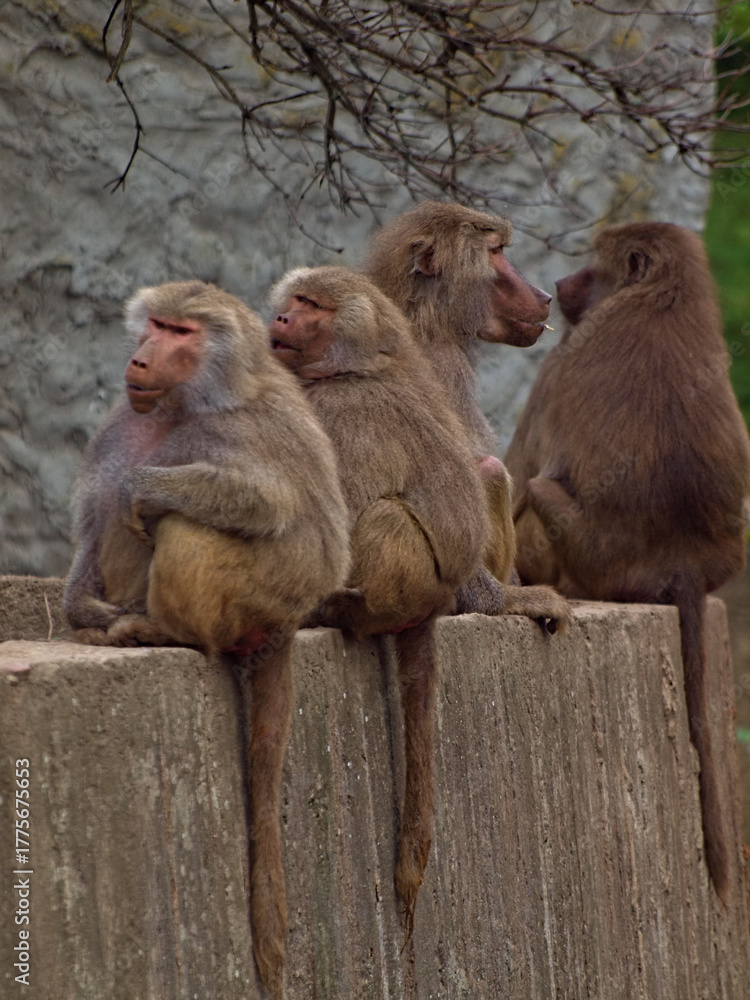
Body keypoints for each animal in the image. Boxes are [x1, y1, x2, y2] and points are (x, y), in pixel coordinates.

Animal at [63, 280, 350, 999]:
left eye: (182, 333)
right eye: (156, 326)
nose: (140, 358)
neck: (181, 404)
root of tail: (284, 623)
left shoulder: (239, 431)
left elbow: (267, 503)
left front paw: (141, 487)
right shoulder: (119, 427)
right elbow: (94, 522)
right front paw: (80, 607)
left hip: (252, 600)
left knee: (185, 525)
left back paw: (161, 629)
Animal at [268, 266, 490, 931]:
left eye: (311, 307)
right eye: (294, 300)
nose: (281, 318)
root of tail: (435, 604)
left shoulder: (345, 412)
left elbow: (343, 511)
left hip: (411, 584)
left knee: (385, 519)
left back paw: (345, 613)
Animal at [364, 200, 570, 630]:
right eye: (495, 252)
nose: (544, 296)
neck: (422, 310)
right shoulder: (445, 365)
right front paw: (511, 600)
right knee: (489, 470)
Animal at [504, 222, 750, 905]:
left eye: (593, 267)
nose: (561, 283)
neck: (658, 300)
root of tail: (681, 564)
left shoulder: (556, 365)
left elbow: (517, 471)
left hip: (589, 557)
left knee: (540, 488)